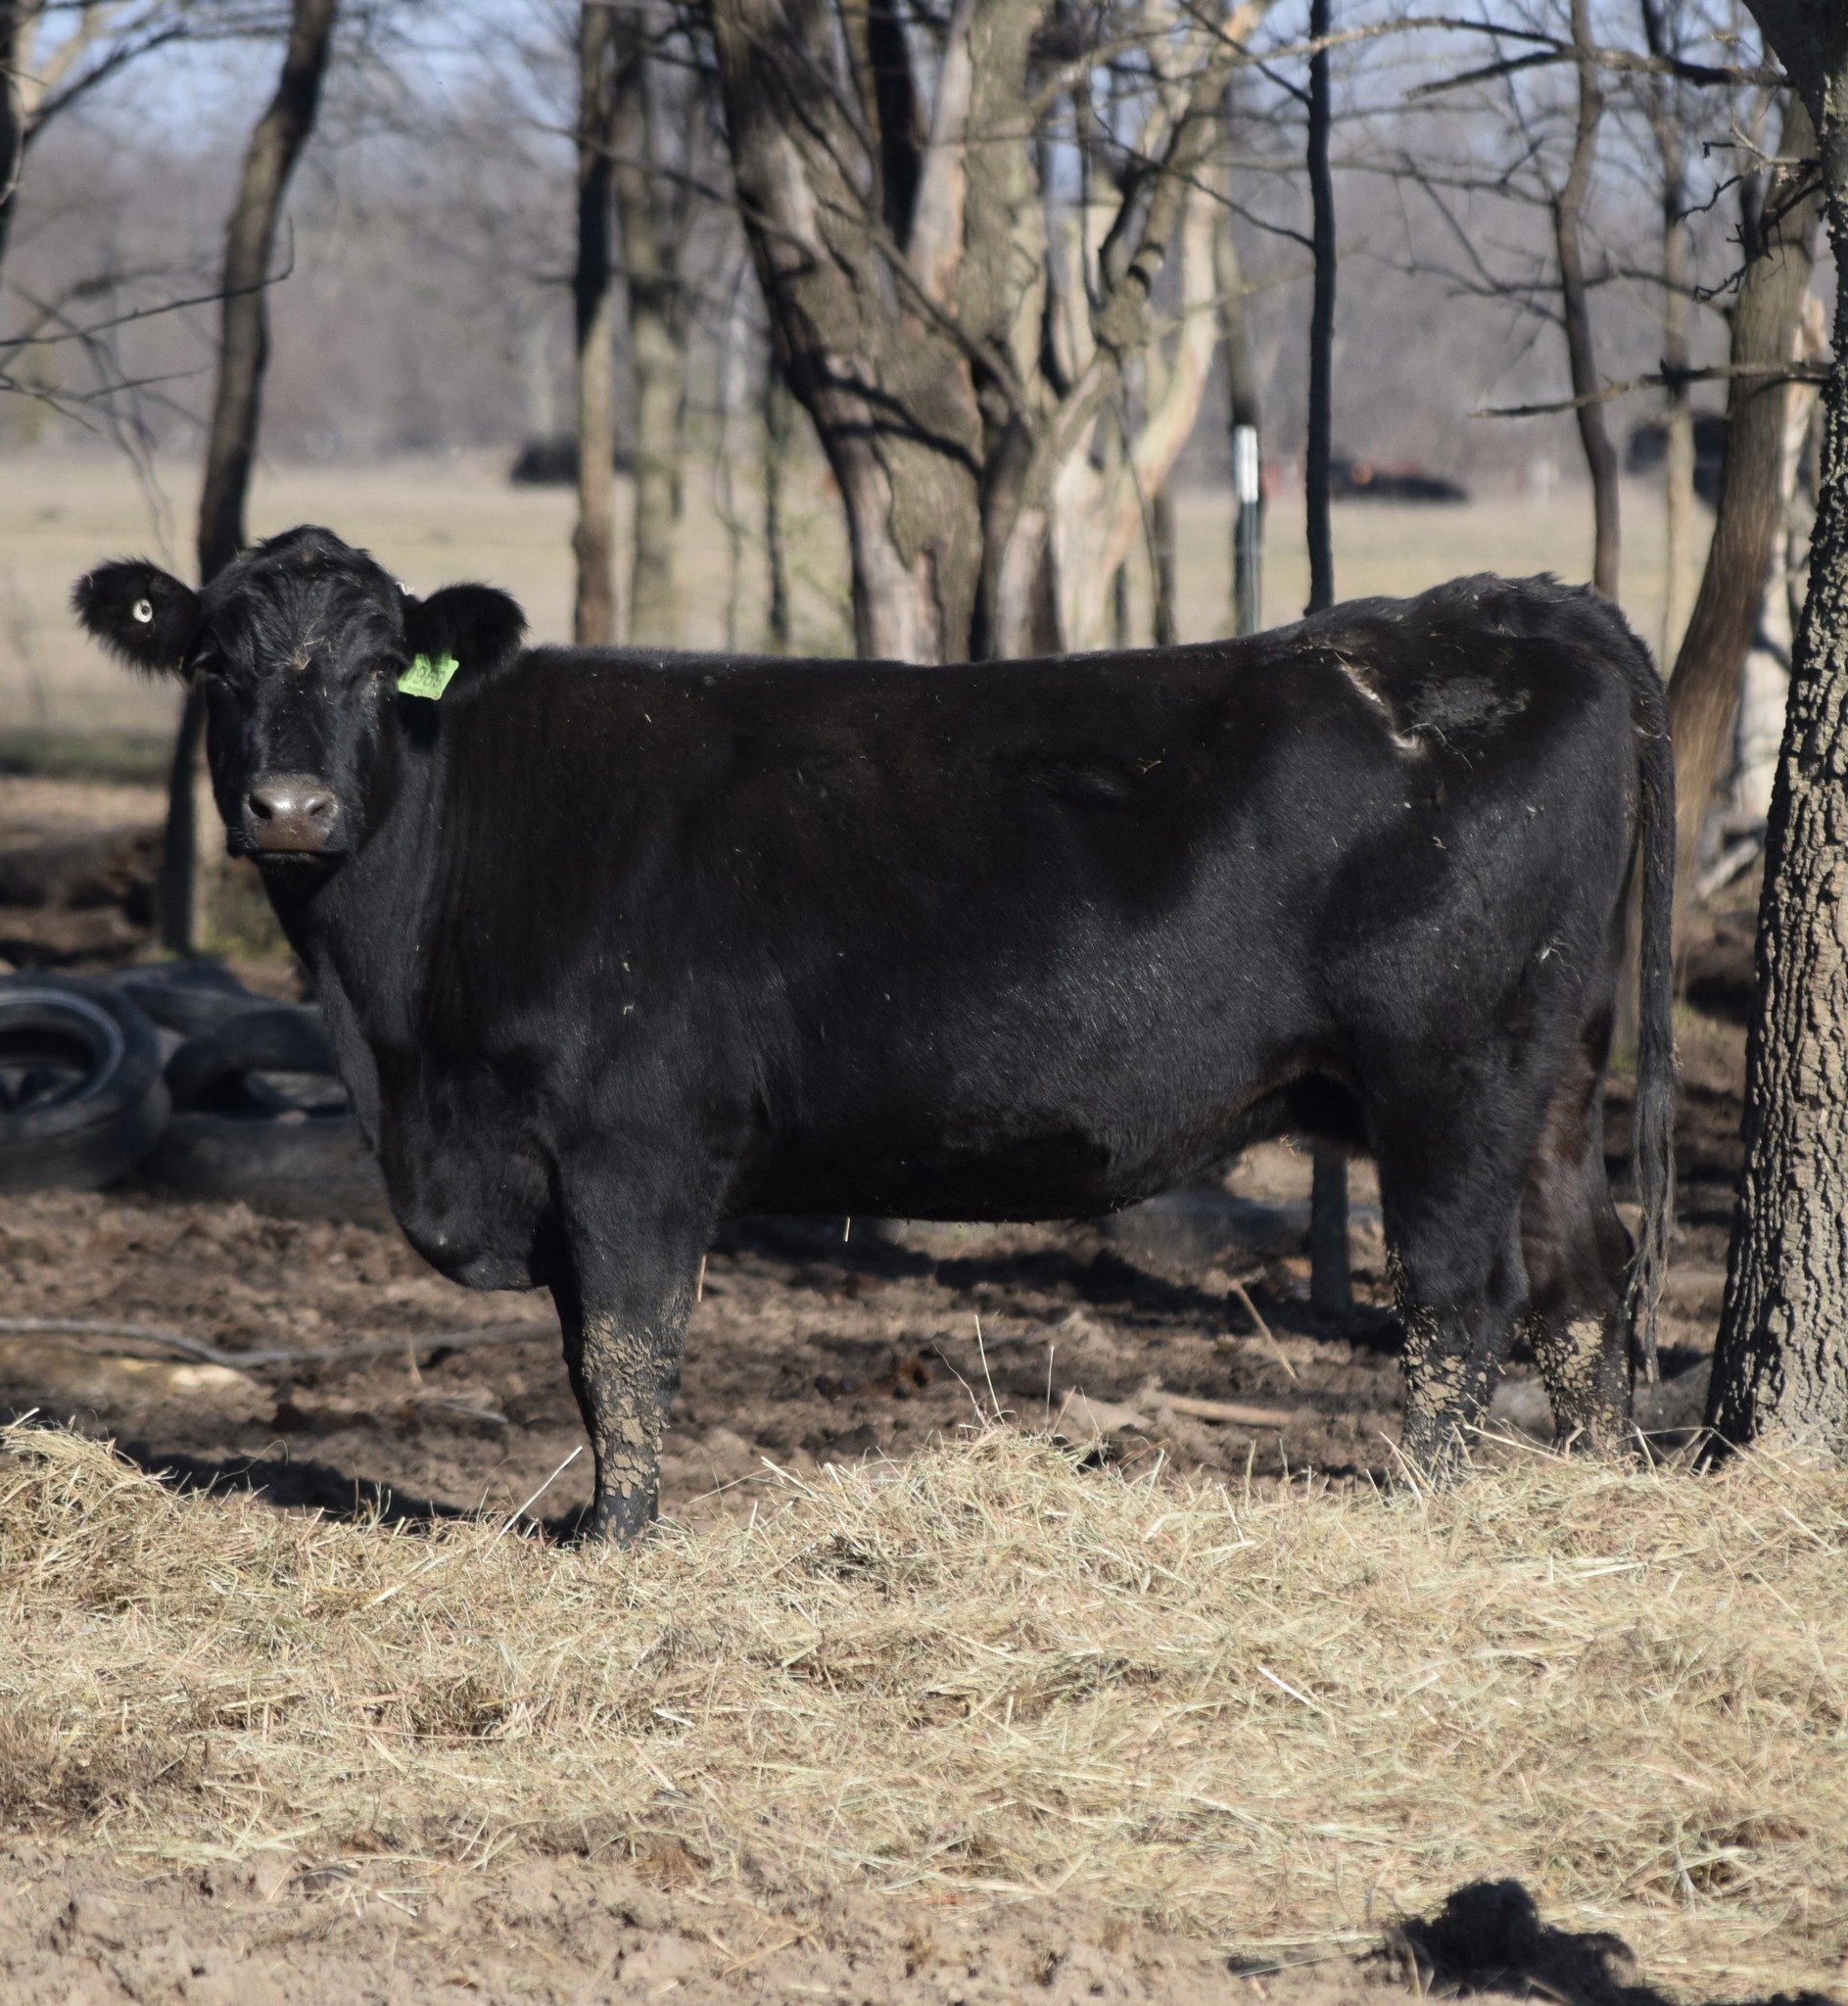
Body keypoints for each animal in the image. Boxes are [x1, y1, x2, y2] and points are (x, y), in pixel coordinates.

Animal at [75, 528, 1673, 1541]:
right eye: (213, 667)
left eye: (370, 668)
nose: (290, 809)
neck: (399, 1050)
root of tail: (1512, 604)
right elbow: (592, 1354)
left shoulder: (633, 1144)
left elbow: (625, 1354)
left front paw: (620, 1541)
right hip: (1552, 1075)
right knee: (1584, 1283)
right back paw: (1599, 1494)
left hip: (1447, 1075)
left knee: (1460, 1297)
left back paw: (1424, 1510)